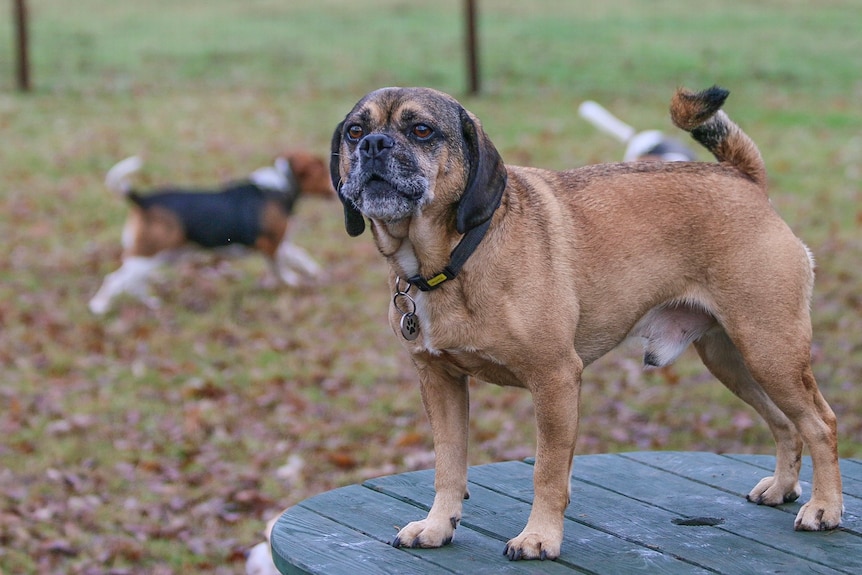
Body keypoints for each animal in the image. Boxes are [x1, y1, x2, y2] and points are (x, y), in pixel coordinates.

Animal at [330, 86, 844, 564]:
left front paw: (539, 536)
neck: (455, 255)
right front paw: (438, 526)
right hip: (734, 360)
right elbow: (449, 465)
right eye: (354, 131)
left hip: (769, 351)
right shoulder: (441, 382)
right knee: (785, 423)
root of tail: (743, 178)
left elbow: (548, 472)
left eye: (422, 131)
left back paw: (825, 508)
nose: (373, 144)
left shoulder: (555, 380)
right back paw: (783, 487)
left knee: (821, 423)